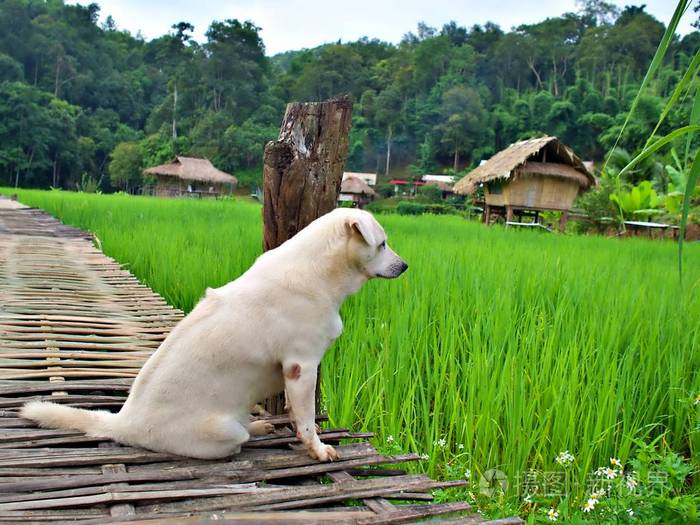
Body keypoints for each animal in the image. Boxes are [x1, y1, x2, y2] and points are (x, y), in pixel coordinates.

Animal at [20, 207, 404, 460]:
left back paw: (261, 427)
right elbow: (307, 420)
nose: (405, 266)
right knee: (239, 438)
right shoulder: (301, 367)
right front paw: (319, 450)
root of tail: (123, 423)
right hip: (223, 434)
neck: (320, 273)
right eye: (383, 244)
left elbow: (299, 416)